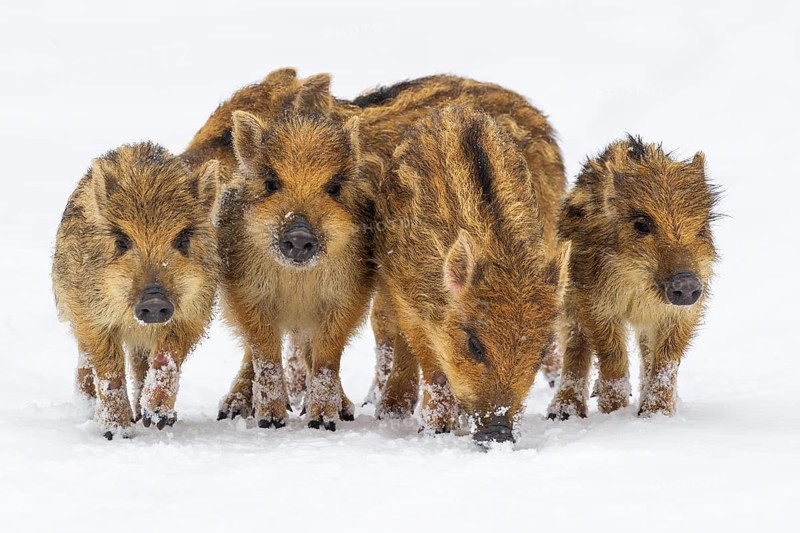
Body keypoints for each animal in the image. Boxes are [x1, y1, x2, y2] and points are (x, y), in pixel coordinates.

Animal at [52, 142, 220, 439]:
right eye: (121, 241)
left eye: (182, 239)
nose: (153, 301)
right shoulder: (91, 316)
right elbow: (109, 370)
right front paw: (116, 433)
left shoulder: (193, 314)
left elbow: (167, 358)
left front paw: (159, 418)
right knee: (85, 360)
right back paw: (88, 410)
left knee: (140, 362)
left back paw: (146, 417)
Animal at [547, 135, 719, 419]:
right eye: (641, 225)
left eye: (701, 228)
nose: (685, 283)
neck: (640, 285)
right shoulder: (596, 303)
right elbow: (612, 357)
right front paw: (614, 413)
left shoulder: (684, 311)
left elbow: (666, 360)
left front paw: (656, 415)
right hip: (569, 298)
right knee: (575, 344)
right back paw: (563, 413)